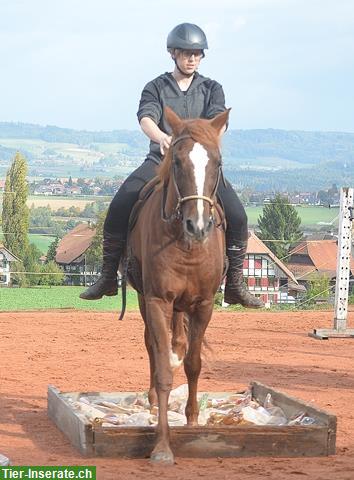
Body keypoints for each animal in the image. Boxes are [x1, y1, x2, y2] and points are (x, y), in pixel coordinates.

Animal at [126, 106, 230, 464]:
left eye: (217, 162)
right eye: (177, 162)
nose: (198, 225)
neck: (186, 246)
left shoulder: (204, 305)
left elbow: (194, 364)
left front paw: (193, 420)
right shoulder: (158, 300)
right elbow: (162, 371)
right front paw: (161, 446)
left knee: (180, 344)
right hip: (145, 300)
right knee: (151, 346)